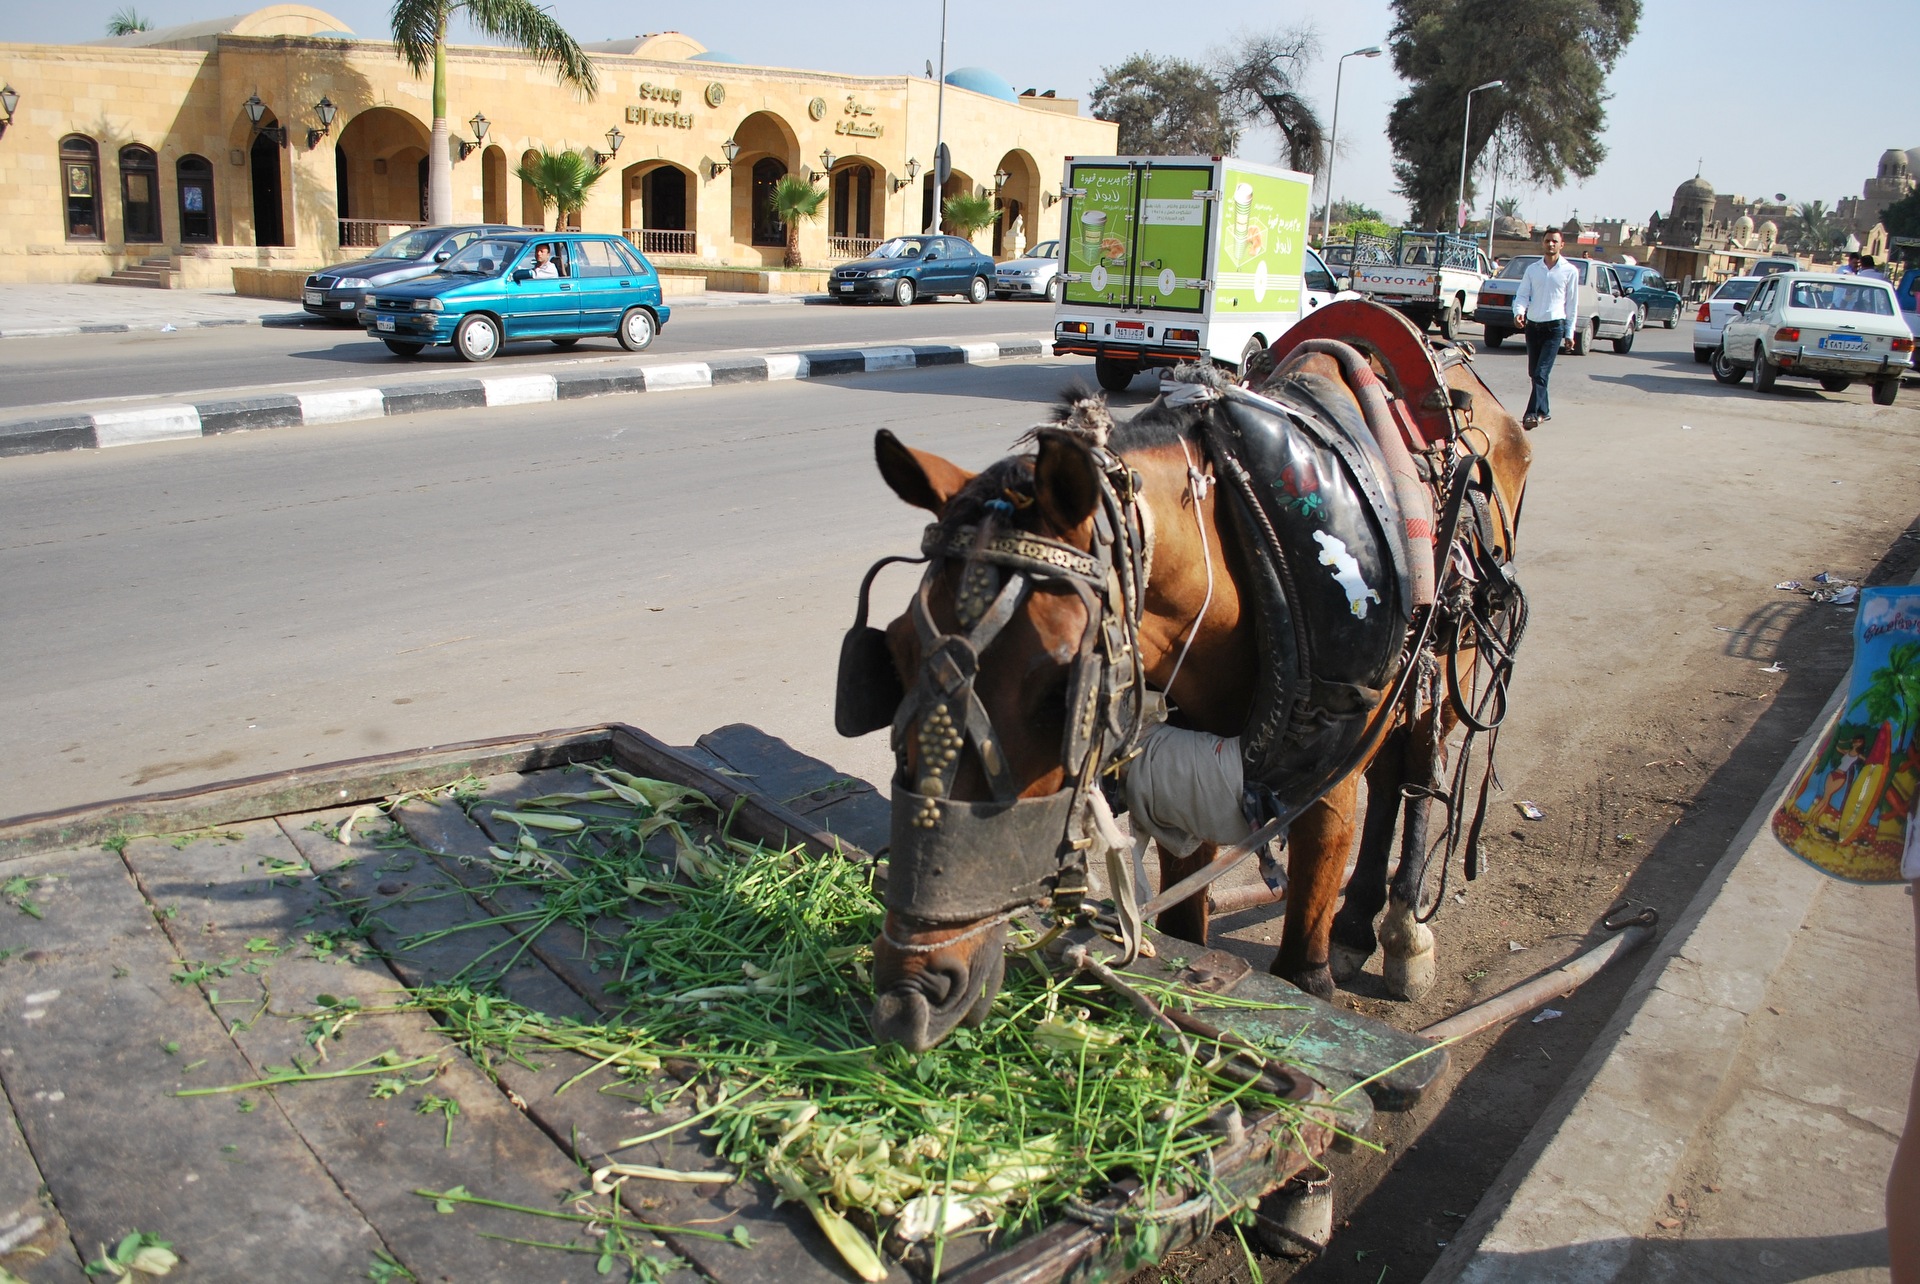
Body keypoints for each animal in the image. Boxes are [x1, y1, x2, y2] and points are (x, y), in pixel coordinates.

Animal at [840, 305, 1528, 1044]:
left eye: (1060, 694)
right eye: (896, 656)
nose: (912, 989)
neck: (1254, 550)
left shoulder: (1330, 774)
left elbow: (1301, 976)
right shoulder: (1174, 785)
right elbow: (1181, 930)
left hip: (1445, 671)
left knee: (1413, 771)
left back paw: (1397, 929)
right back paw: (1357, 923)